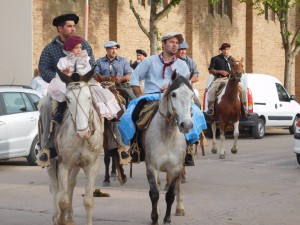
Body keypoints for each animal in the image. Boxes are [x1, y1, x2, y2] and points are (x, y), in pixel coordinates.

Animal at [46, 68, 103, 225]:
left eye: (89, 97)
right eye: (68, 99)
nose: (84, 133)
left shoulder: (92, 165)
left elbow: (88, 201)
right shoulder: (63, 164)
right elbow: (63, 201)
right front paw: (60, 219)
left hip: (76, 165)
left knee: (71, 183)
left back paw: (70, 216)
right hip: (52, 161)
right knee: (54, 186)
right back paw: (56, 216)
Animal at [143, 71, 195, 225]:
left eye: (192, 95)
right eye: (174, 94)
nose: (186, 124)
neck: (167, 135)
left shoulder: (175, 168)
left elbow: (171, 194)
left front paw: (167, 219)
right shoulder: (151, 167)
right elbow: (154, 193)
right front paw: (155, 218)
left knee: (178, 186)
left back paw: (180, 208)